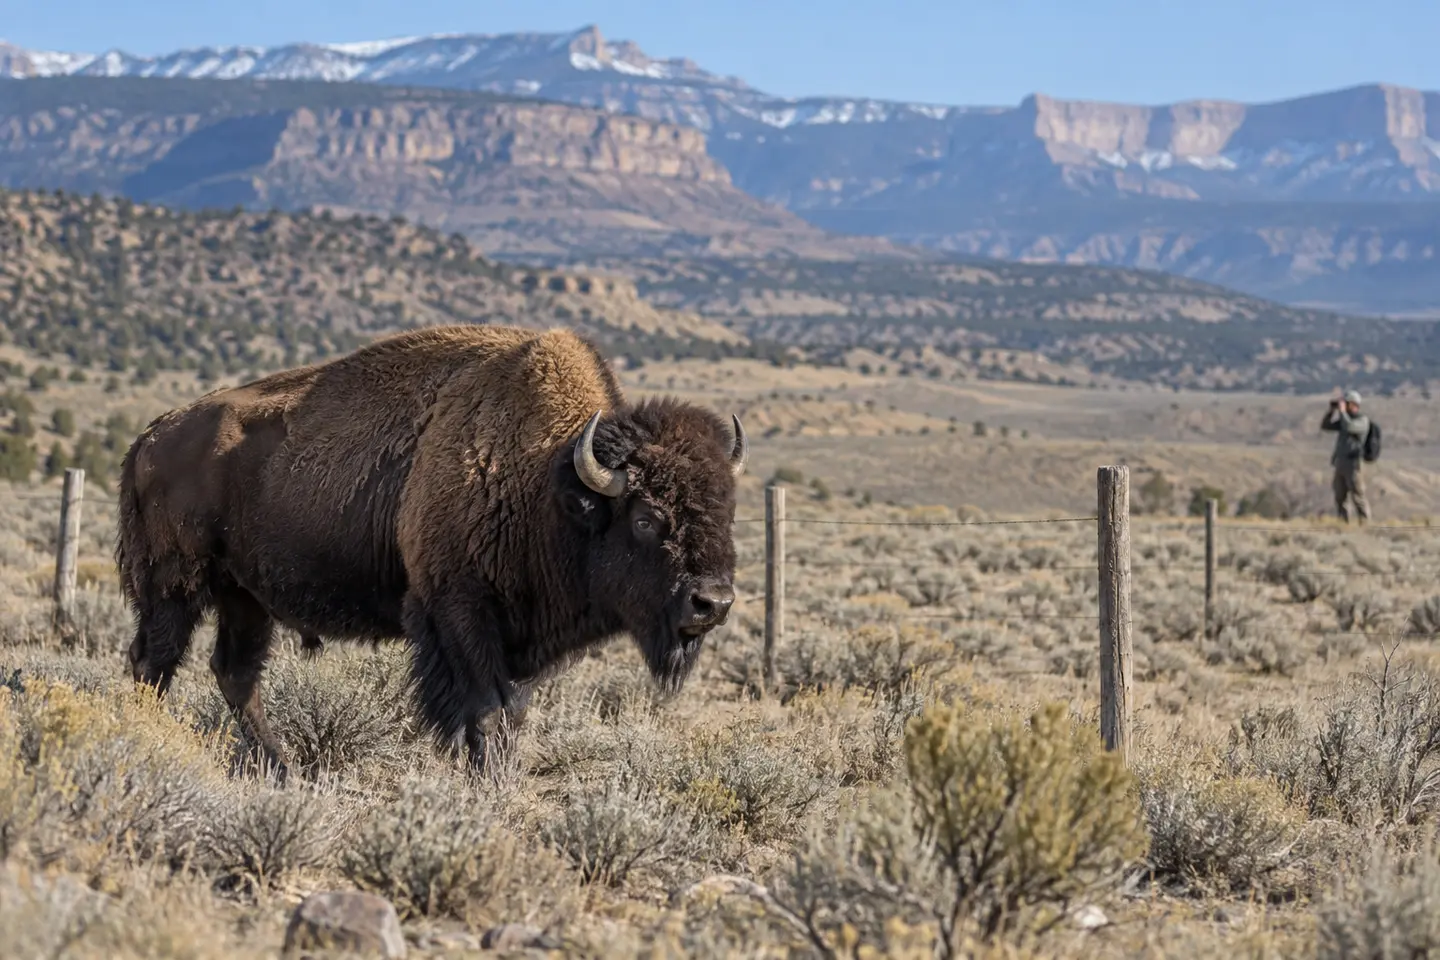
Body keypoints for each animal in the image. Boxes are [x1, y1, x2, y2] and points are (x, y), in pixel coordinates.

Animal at [116, 325, 747, 775]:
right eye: (646, 518)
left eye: (728, 511)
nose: (711, 603)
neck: (548, 481)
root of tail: (150, 436)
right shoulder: (460, 612)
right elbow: (486, 711)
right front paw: (487, 783)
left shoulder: (524, 637)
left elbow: (513, 713)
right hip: (174, 584)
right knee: (154, 662)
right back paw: (149, 739)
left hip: (244, 596)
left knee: (235, 672)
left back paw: (282, 770)